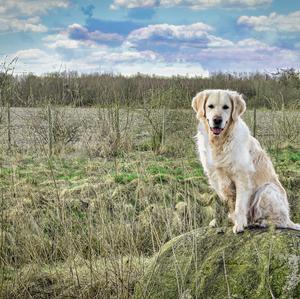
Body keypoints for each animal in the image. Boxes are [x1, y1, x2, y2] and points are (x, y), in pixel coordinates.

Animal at [192, 89, 300, 234]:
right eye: (210, 106)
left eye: (226, 107)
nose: (217, 120)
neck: (220, 142)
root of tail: (289, 219)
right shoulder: (216, 177)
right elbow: (230, 204)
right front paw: (231, 221)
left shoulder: (242, 176)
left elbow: (239, 205)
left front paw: (239, 225)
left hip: (267, 190)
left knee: (280, 222)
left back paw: (260, 222)